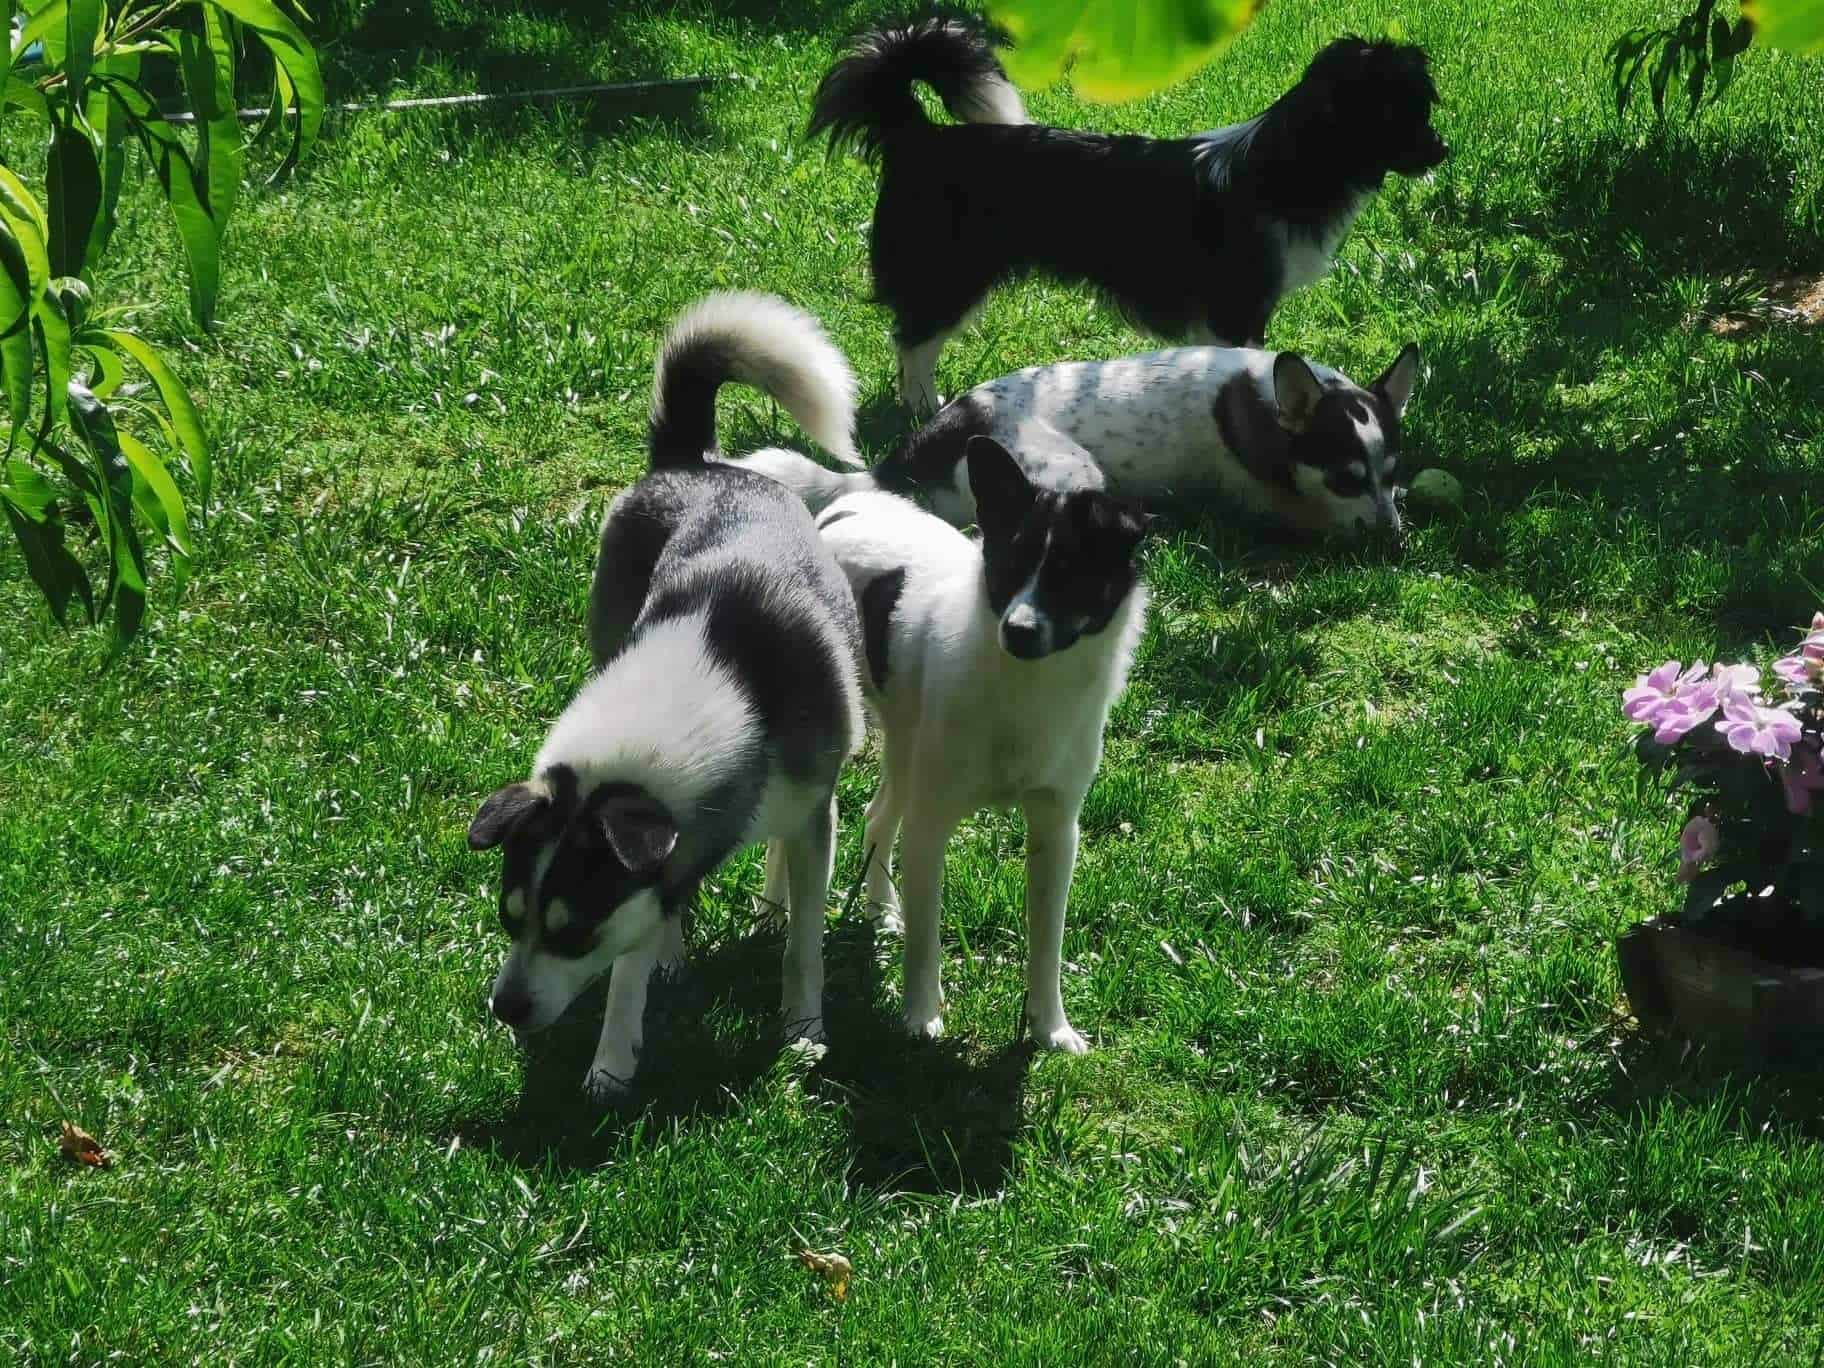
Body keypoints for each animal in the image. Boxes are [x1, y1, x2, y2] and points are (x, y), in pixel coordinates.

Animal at [467, 292, 867, 1101]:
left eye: (573, 932)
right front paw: (614, 1059)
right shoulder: (654, 874)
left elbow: (806, 943)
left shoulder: (816, 808)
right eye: (507, 918)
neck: (725, 679)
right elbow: (634, 956)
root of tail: (691, 460)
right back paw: (674, 951)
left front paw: (803, 1033)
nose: (505, 1008)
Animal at [766, 436, 1149, 1051]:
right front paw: (921, 1018)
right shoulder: (931, 826)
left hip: (905, 744)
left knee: (878, 814)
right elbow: (926, 939)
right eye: (1007, 566)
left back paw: (880, 908)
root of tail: (840, 512)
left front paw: (1050, 1028)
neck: (1027, 687)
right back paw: (777, 911)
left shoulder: (1056, 831)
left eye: (1072, 576)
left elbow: (1047, 943)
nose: (1018, 631)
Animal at [809, 19, 1446, 413]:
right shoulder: (1237, 305)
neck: (1293, 162)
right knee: (915, 338)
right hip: (951, 271)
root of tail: (920, 134)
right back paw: (922, 405)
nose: (1444, 150)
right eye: (1399, 114)